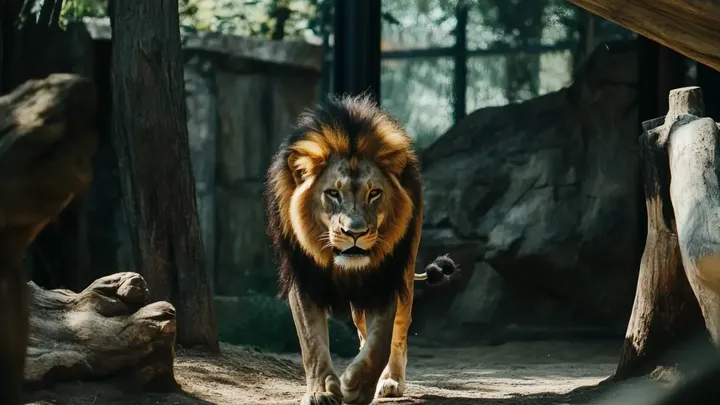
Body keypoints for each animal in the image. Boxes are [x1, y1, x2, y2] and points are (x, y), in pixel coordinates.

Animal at [265, 94, 457, 405]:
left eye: (374, 193)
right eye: (332, 193)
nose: (354, 233)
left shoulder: (386, 278)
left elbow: (381, 342)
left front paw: (358, 384)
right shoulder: (303, 276)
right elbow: (312, 342)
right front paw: (321, 391)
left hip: (405, 274)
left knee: (400, 330)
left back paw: (390, 380)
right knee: (361, 329)